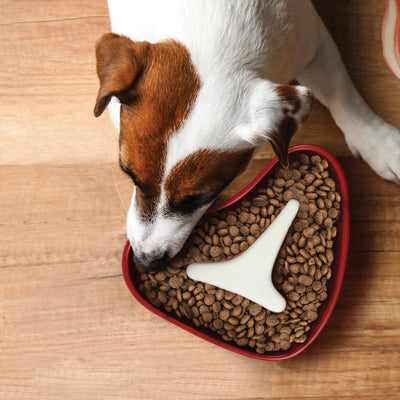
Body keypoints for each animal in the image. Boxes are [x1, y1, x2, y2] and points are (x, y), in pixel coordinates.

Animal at [94, 0, 400, 270]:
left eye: (198, 198)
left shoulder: (313, 43)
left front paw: (378, 143)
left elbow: (342, 96)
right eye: (128, 173)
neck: (213, 26)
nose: (147, 262)